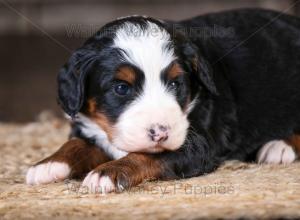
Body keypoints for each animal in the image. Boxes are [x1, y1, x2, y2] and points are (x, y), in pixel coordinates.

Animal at [25, 9, 300, 192]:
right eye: (121, 88)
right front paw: (48, 164)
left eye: (175, 84)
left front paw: (108, 172)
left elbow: (146, 155)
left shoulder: (200, 144)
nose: (160, 132)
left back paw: (279, 147)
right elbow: (77, 144)